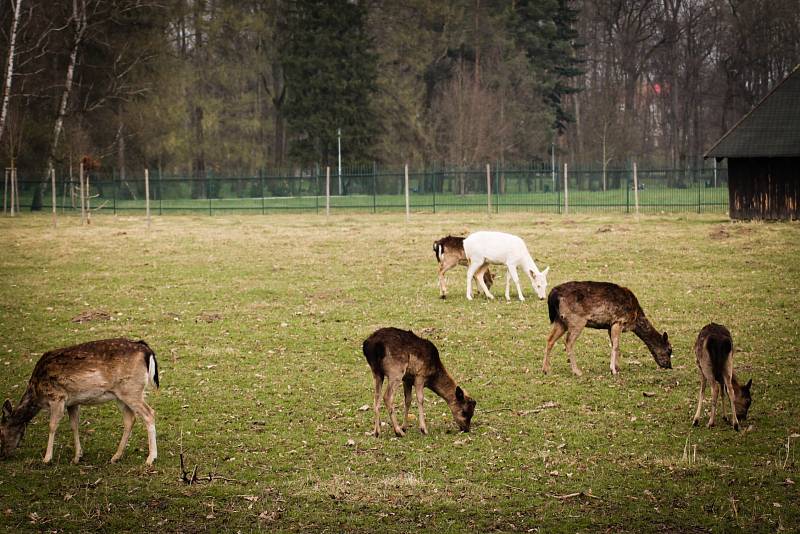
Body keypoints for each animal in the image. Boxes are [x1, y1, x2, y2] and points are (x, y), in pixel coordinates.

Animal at [0, 342, 159, 466]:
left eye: (0, 432)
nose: (3, 455)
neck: (37, 392)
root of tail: (147, 350)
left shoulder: (57, 396)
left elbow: (52, 426)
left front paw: (47, 458)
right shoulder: (72, 402)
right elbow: (74, 425)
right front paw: (77, 457)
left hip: (131, 390)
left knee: (149, 413)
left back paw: (151, 458)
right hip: (120, 395)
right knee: (130, 418)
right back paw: (116, 456)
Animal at [540, 282, 672, 378]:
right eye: (669, 350)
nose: (669, 366)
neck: (634, 318)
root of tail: (553, 295)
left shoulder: (610, 325)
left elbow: (615, 345)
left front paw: (617, 367)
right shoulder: (619, 320)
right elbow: (616, 346)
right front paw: (613, 370)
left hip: (560, 320)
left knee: (550, 339)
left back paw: (546, 369)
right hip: (576, 320)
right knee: (568, 342)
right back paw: (577, 371)